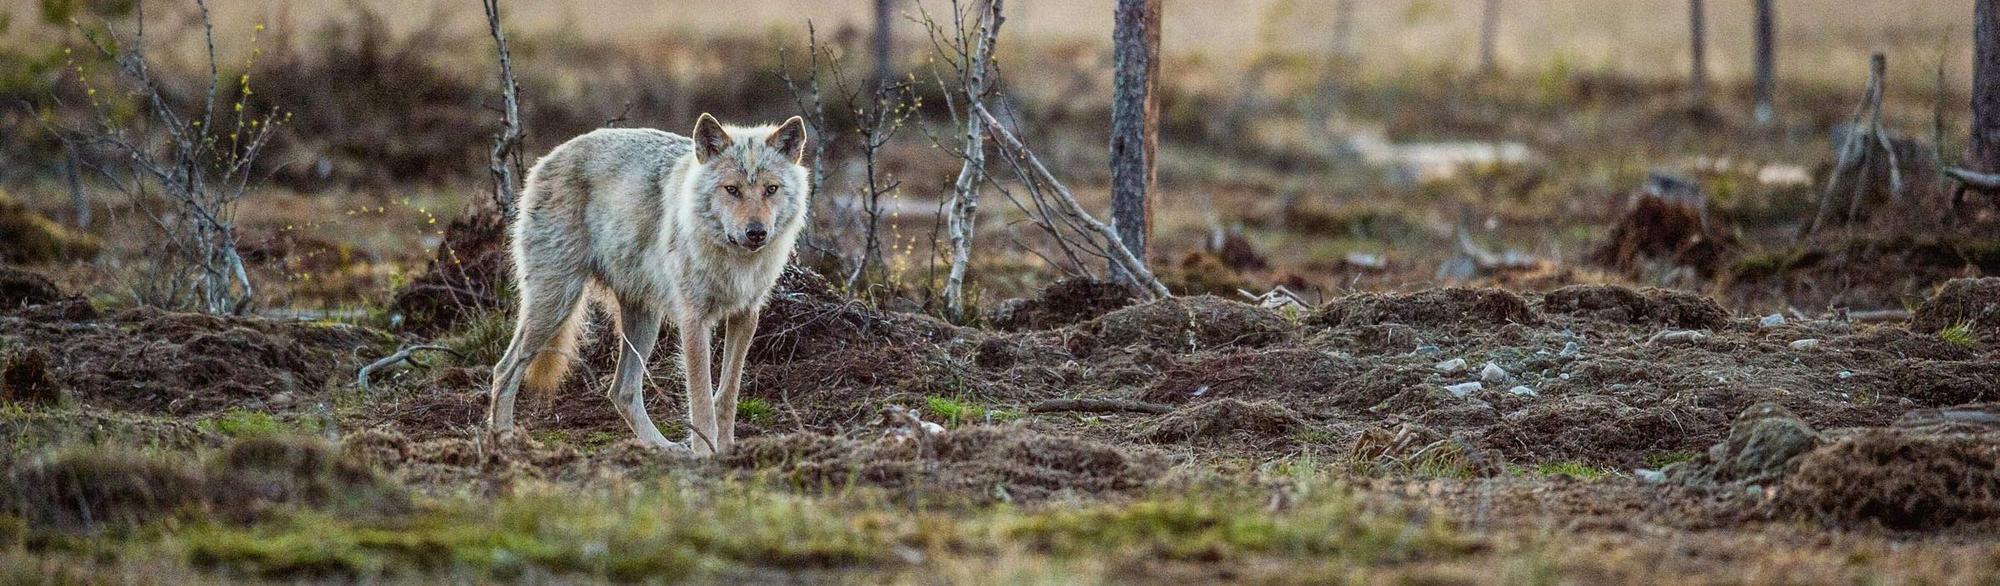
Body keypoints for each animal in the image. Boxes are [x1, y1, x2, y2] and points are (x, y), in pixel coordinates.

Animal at [488, 112, 808, 454]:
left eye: (771, 189)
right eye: (731, 189)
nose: (756, 232)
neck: (734, 262)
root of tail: (545, 159)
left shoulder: (746, 316)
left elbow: (726, 397)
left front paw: (726, 451)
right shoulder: (693, 321)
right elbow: (701, 404)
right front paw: (705, 455)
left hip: (642, 321)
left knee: (621, 391)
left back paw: (663, 448)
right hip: (556, 304)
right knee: (503, 371)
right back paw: (503, 442)